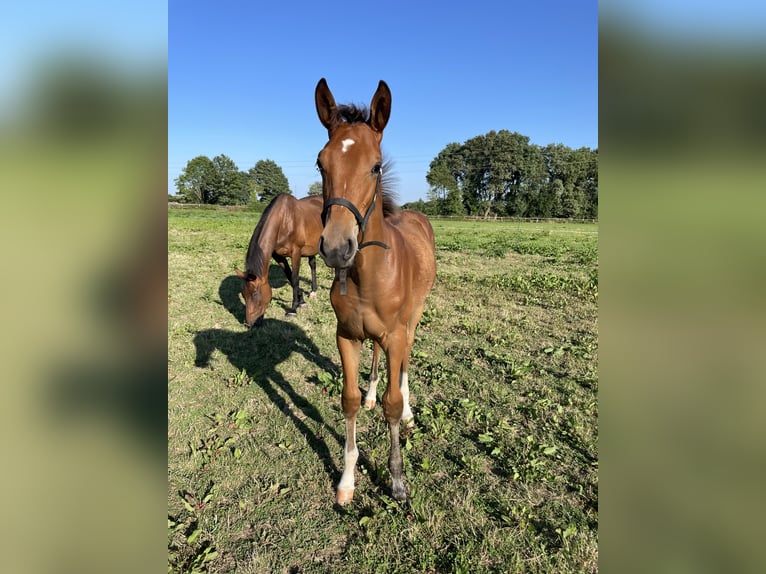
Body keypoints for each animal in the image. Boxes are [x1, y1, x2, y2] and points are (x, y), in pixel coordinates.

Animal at [238, 195, 326, 328]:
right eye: (243, 294)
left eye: (254, 293)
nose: (250, 323)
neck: (284, 220)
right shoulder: (278, 256)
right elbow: (290, 277)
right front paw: (301, 301)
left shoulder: (296, 252)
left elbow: (295, 278)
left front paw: (293, 309)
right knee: (313, 265)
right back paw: (313, 291)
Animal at [316, 79, 438, 506]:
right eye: (320, 164)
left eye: (376, 165)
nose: (337, 248)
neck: (368, 275)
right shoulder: (346, 335)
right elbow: (348, 399)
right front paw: (346, 480)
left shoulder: (396, 333)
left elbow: (392, 403)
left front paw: (397, 480)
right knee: (375, 356)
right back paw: (371, 392)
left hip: (413, 319)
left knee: (404, 362)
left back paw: (408, 409)